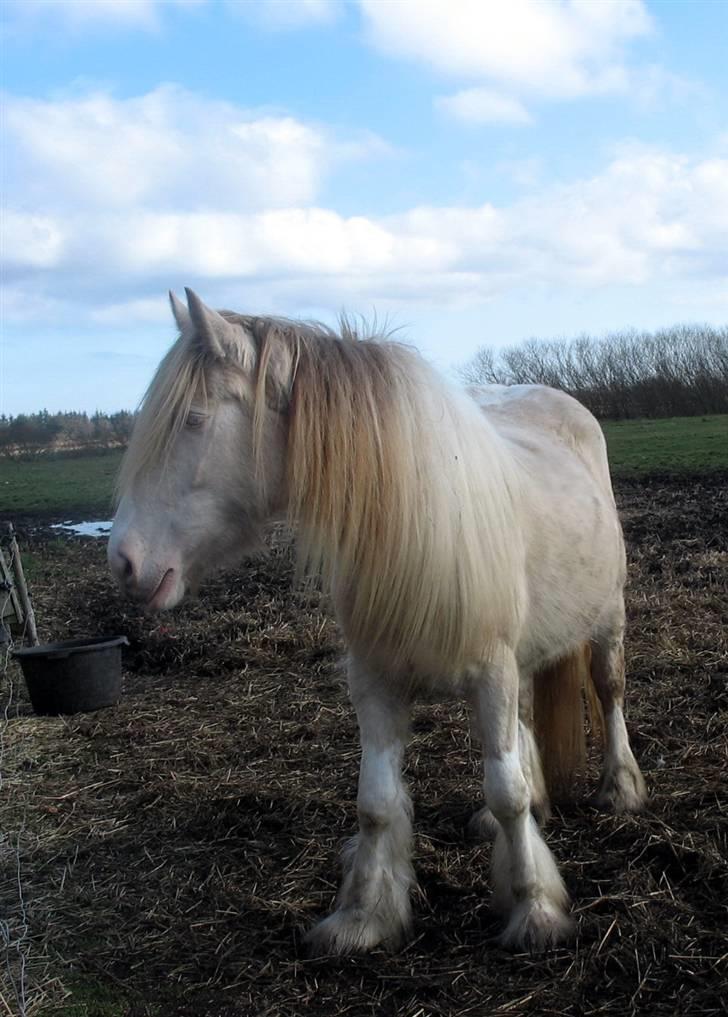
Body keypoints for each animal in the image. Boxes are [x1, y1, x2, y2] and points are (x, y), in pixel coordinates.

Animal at [106, 292, 642, 951]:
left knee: (609, 690)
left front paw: (535, 911)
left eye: (195, 420)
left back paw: (620, 788)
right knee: (521, 727)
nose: (124, 561)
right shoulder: (376, 680)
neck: (413, 523)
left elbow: (508, 791)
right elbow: (378, 802)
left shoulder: (490, 671)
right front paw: (361, 917)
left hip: (606, 617)